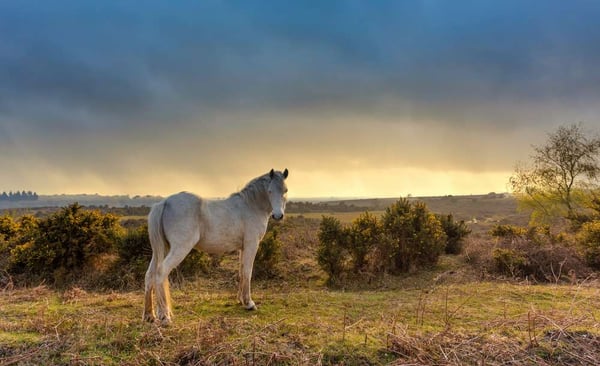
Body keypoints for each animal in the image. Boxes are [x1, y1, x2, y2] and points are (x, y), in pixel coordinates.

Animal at [143, 167, 288, 324]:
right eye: (270, 191)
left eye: (285, 190)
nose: (278, 216)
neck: (250, 206)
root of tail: (164, 202)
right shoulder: (251, 245)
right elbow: (247, 272)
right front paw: (249, 303)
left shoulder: (242, 248)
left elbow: (241, 271)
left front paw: (241, 300)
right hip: (179, 248)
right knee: (161, 272)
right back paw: (165, 316)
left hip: (161, 249)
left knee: (149, 275)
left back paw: (149, 315)